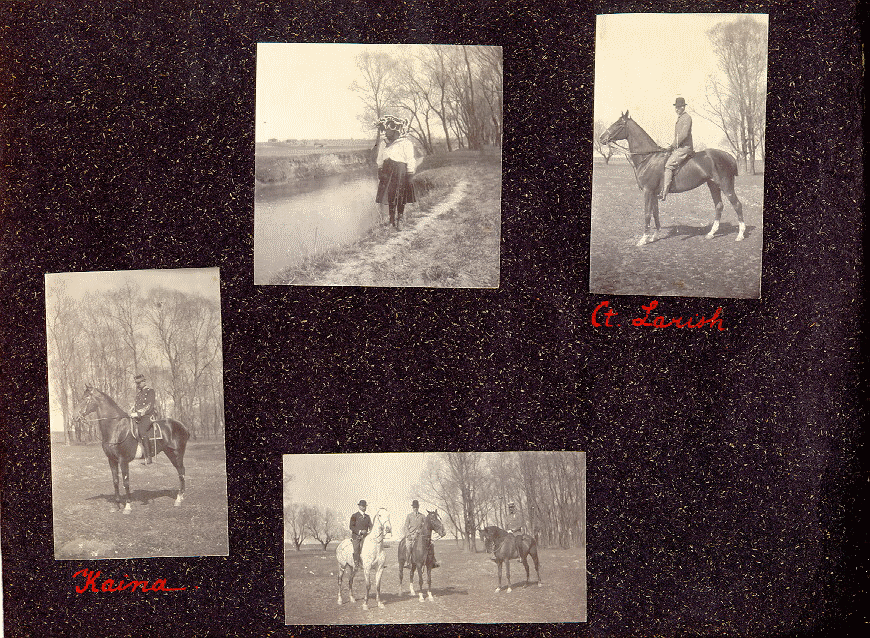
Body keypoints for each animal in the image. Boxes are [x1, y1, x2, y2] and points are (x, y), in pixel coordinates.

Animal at [77, 384, 191, 516]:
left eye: (85, 398)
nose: (75, 417)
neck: (116, 428)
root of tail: (182, 426)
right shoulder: (112, 460)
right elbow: (115, 481)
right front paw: (116, 505)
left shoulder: (123, 460)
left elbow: (126, 482)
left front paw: (127, 506)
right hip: (170, 453)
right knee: (181, 471)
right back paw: (180, 497)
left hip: (177, 454)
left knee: (181, 472)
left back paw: (178, 499)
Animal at [600, 112, 748, 248]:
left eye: (618, 124)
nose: (601, 138)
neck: (648, 158)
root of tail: (728, 156)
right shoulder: (654, 193)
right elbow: (655, 213)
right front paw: (655, 235)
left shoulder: (648, 191)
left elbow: (647, 213)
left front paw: (644, 239)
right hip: (713, 185)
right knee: (719, 206)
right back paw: (711, 233)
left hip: (726, 185)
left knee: (737, 205)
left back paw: (740, 235)